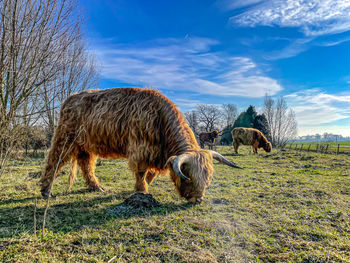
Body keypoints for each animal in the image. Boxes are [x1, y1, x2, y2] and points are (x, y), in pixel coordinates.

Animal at [39, 88, 242, 204]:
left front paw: (143, 188)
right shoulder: (141, 150)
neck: (160, 119)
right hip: (66, 137)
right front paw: (142, 191)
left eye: (207, 180)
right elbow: (142, 172)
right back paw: (46, 191)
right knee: (54, 160)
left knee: (86, 164)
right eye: (188, 178)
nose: (197, 199)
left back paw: (96, 187)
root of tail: (71, 98)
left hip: (87, 144)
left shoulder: (157, 155)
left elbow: (150, 174)